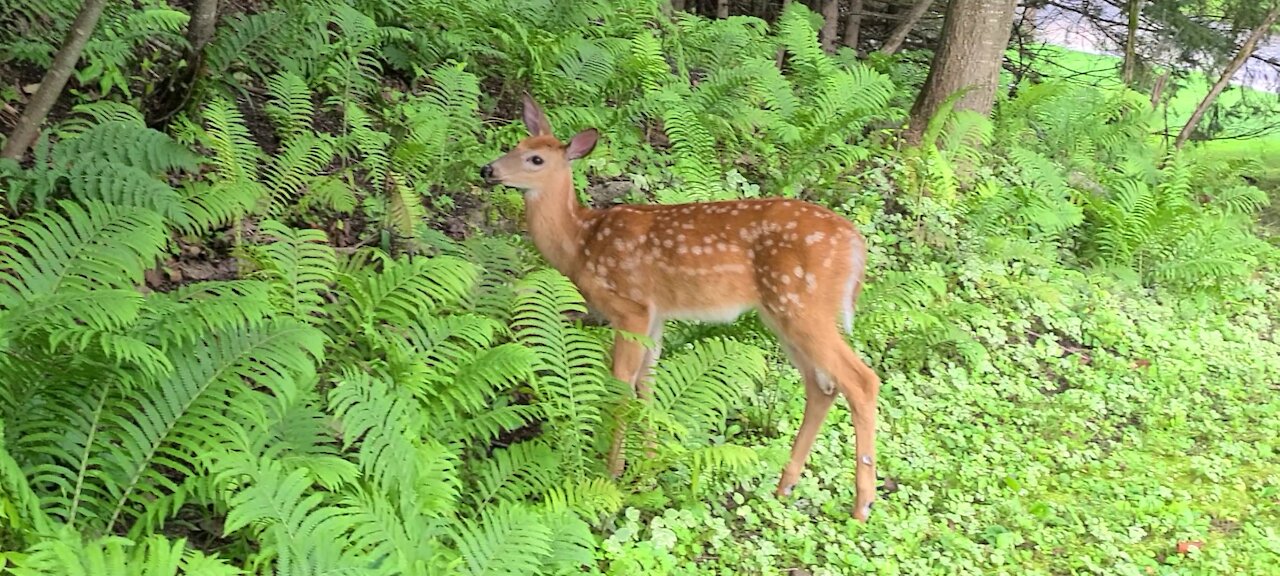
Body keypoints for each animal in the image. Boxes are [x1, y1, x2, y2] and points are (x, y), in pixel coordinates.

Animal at [481, 95, 880, 522]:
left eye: (536, 159)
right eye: (516, 145)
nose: (488, 169)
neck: (580, 243)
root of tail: (856, 246)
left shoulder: (630, 307)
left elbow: (621, 384)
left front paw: (613, 472)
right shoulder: (656, 316)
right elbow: (647, 383)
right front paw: (648, 467)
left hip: (803, 304)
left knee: (861, 380)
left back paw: (861, 505)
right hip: (782, 312)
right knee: (821, 386)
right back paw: (784, 485)